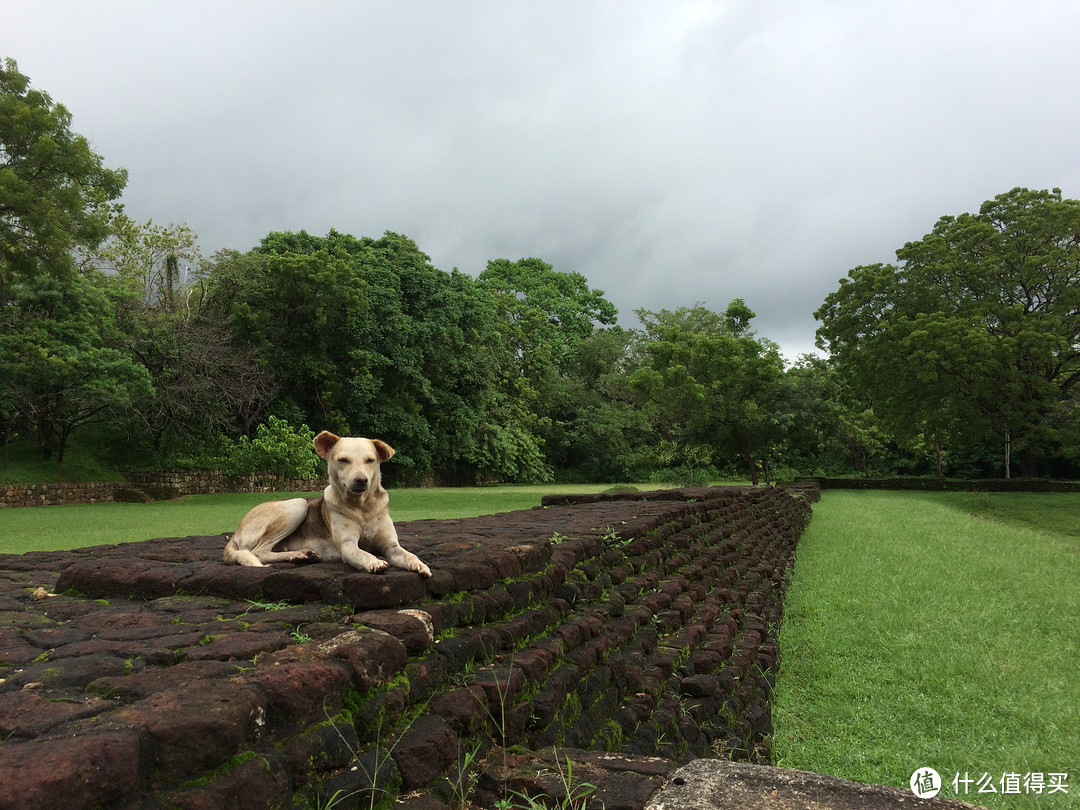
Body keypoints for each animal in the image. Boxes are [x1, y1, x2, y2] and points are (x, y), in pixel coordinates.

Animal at [223, 432, 429, 578]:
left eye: (370, 460)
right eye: (343, 460)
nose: (361, 480)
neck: (363, 508)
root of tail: (235, 532)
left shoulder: (390, 546)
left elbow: (407, 554)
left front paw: (420, 564)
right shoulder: (347, 545)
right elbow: (362, 553)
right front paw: (375, 562)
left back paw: (301, 554)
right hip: (298, 504)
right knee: (258, 552)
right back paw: (297, 555)